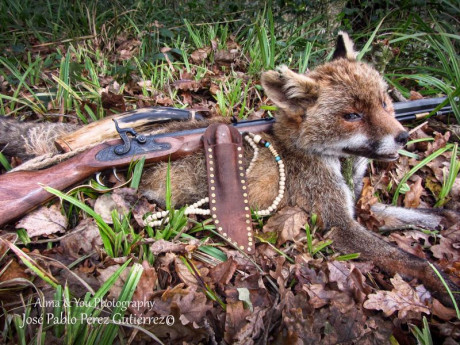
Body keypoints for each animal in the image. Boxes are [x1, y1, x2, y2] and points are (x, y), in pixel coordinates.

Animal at [0, 30, 460, 302]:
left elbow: (406, 214)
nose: (403, 137)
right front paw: (445, 285)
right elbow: (413, 261)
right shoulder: (336, 225)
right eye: (352, 115)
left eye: (385, 102)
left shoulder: (356, 205)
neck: (331, 160)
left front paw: (441, 219)